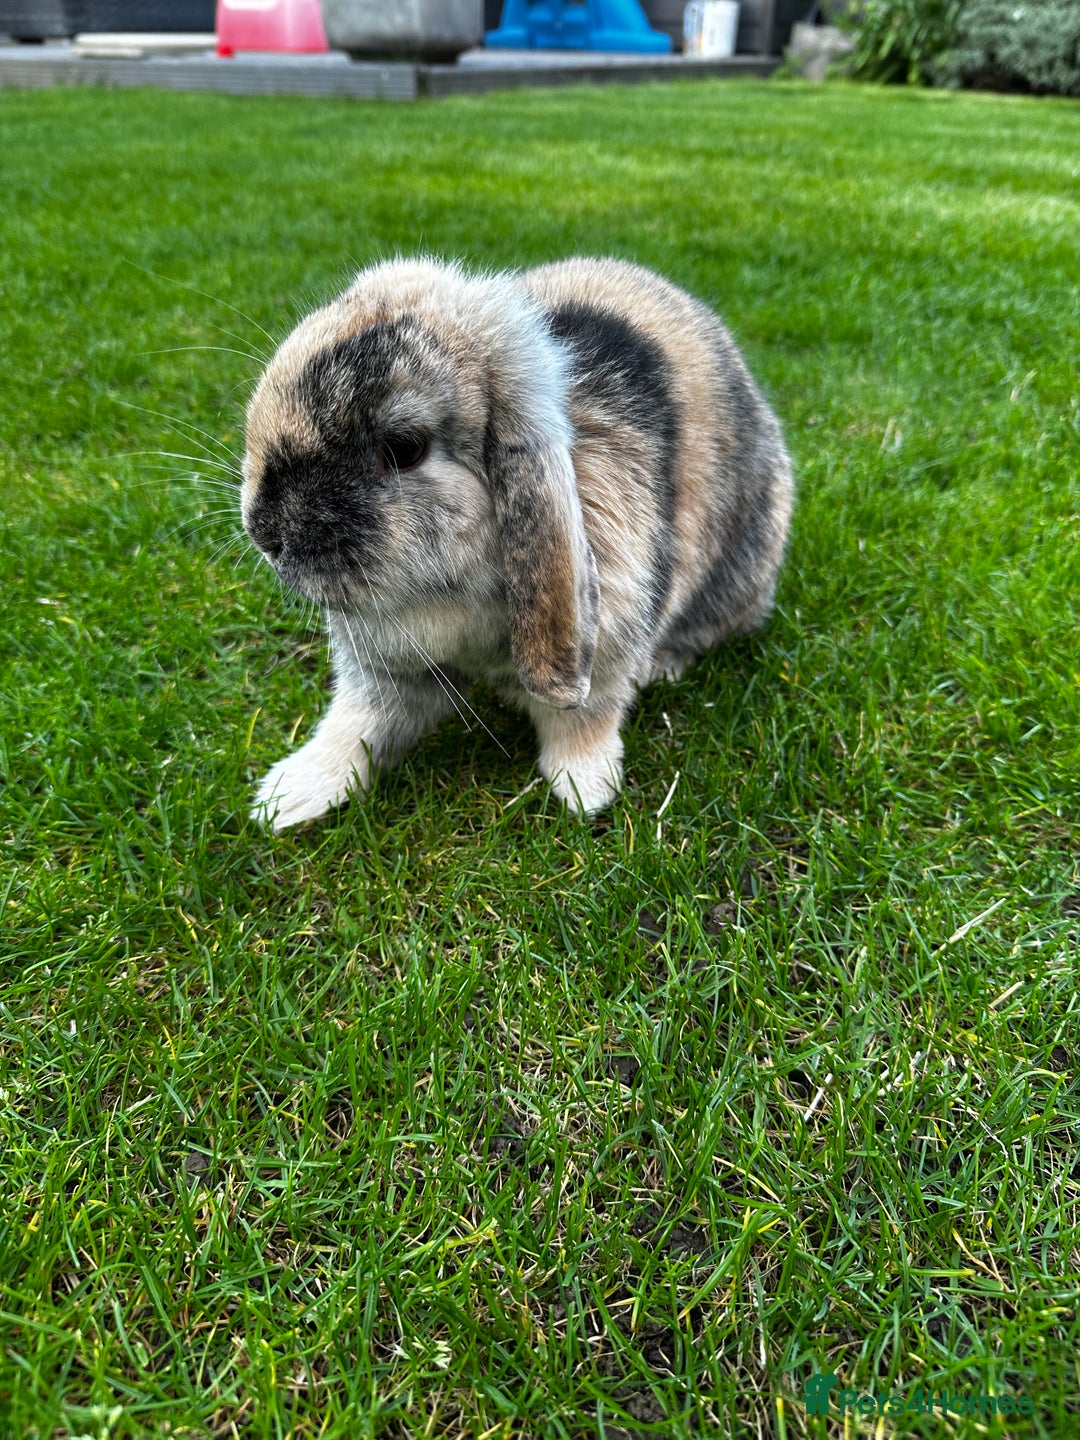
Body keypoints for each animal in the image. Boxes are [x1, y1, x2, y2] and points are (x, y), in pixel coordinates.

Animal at [240, 255, 793, 831]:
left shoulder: (603, 661)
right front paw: (286, 798)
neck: (451, 594)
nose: (265, 533)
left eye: (403, 449)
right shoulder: (387, 671)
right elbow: (358, 726)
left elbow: (582, 724)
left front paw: (584, 790)